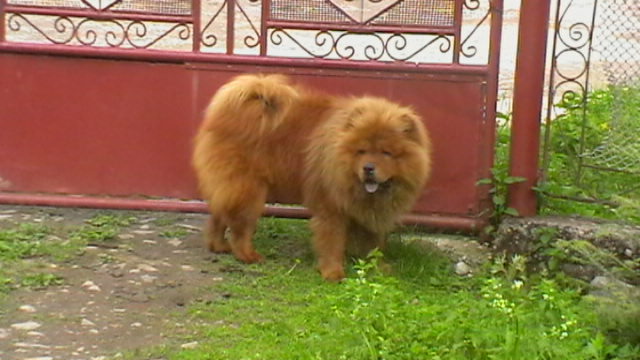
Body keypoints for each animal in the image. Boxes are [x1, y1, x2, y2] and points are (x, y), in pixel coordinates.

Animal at [190, 74, 430, 282]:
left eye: (386, 153)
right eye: (361, 151)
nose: (368, 168)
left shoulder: (369, 213)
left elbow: (373, 244)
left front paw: (379, 268)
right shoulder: (331, 208)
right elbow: (332, 241)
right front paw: (333, 273)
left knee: (219, 213)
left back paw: (218, 246)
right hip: (248, 188)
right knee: (240, 225)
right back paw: (248, 255)